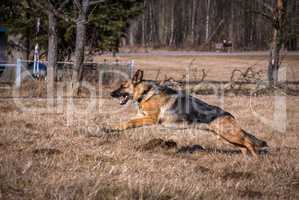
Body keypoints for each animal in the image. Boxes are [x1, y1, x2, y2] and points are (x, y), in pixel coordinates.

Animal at [110, 69, 270, 157]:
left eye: (123, 86)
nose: (111, 94)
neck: (146, 92)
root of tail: (229, 114)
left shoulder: (150, 118)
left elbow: (130, 122)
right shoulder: (142, 116)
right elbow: (127, 121)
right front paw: (113, 128)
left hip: (230, 134)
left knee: (249, 142)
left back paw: (256, 160)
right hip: (227, 137)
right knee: (244, 146)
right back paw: (247, 160)